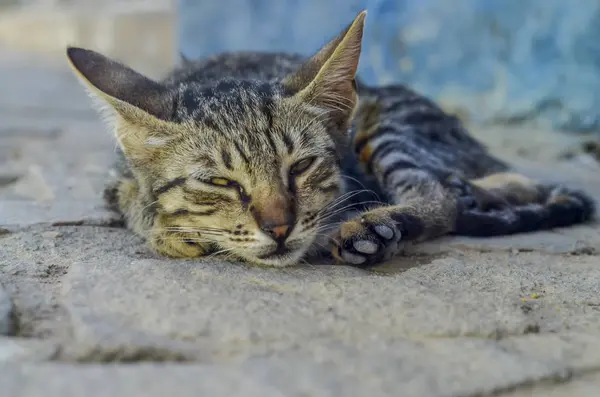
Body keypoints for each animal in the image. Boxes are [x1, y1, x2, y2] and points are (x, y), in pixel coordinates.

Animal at [67, 10, 596, 268]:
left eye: (300, 166)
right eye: (220, 183)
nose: (279, 228)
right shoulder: (114, 180)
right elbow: (132, 200)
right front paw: (170, 228)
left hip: (388, 124)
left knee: (444, 195)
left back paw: (382, 227)